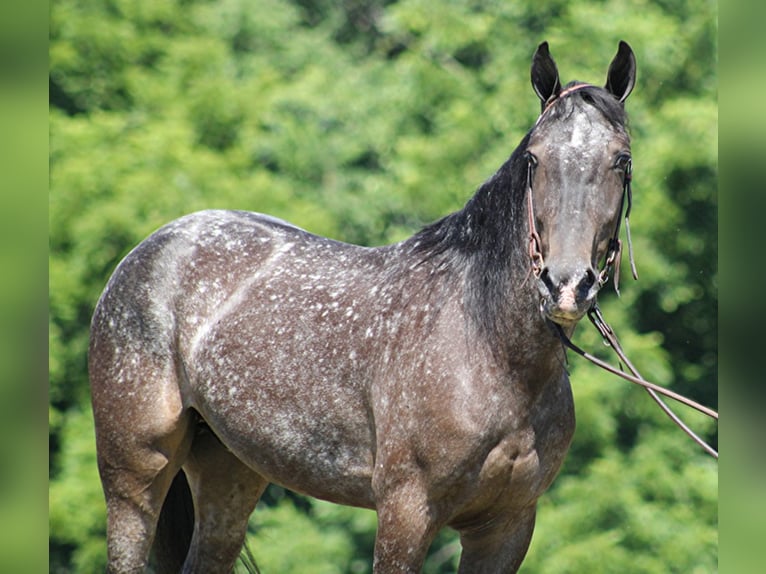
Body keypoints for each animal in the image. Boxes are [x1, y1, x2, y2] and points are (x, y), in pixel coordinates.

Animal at [90, 41, 640, 574]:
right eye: (533, 159)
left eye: (622, 161)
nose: (565, 285)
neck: (489, 350)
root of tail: (152, 249)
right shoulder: (406, 512)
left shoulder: (506, 526)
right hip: (135, 472)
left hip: (229, 469)